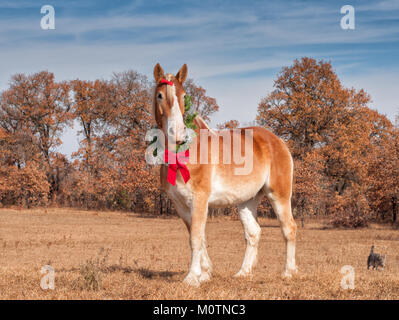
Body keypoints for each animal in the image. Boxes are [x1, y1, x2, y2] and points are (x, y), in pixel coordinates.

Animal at [152, 63, 296, 288]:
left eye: (184, 96)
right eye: (159, 95)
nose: (178, 134)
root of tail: (278, 141)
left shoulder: (200, 200)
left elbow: (195, 237)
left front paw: (192, 277)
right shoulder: (180, 205)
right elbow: (198, 236)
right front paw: (205, 274)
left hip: (279, 195)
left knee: (289, 228)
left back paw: (288, 272)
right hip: (247, 201)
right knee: (253, 233)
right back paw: (243, 273)